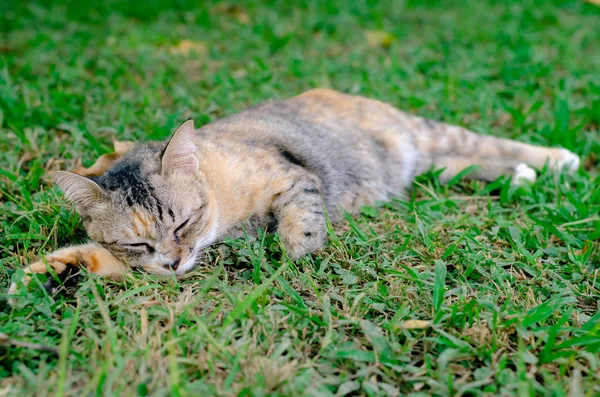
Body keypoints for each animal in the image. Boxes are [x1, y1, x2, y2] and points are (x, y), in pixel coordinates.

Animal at [7, 88, 580, 298]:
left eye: (184, 222)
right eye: (138, 243)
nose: (173, 261)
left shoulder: (295, 178)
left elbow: (298, 219)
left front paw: (298, 253)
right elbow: (92, 260)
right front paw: (46, 275)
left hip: (426, 136)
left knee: (480, 144)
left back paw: (554, 159)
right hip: (430, 165)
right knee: (458, 166)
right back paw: (518, 177)